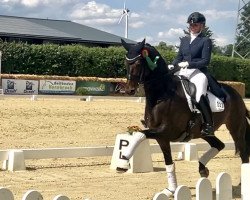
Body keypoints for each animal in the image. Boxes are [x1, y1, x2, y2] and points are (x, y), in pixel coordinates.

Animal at [118, 38, 250, 196]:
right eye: (126, 62)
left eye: (138, 63)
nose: (129, 90)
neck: (162, 94)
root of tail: (235, 93)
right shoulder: (162, 137)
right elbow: (168, 162)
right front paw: (171, 190)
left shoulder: (166, 131)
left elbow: (139, 135)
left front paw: (123, 161)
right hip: (203, 132)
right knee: (219, 145)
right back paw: (202, 169)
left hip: (236, 128)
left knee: (244, 154)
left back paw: (243, 184)